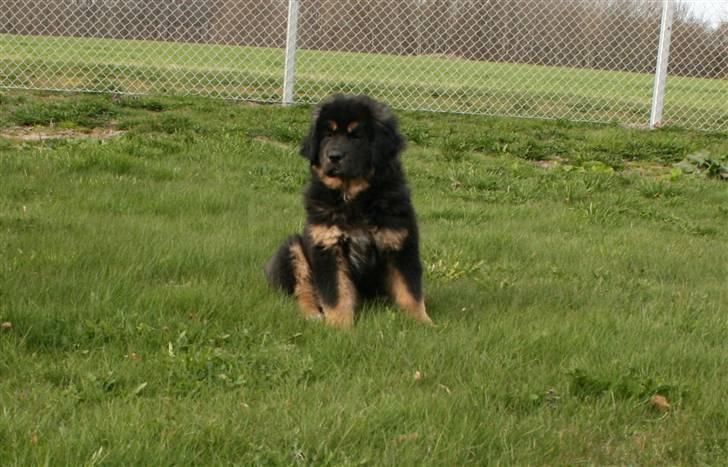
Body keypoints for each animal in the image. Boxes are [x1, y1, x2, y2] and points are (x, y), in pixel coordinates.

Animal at [264, 95, 430, 330]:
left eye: (356, 136)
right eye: (328, 134)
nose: (333, 156)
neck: (354, 197)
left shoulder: (400, 244)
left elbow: (410, 291)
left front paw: (423, 324)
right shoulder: (328, 245)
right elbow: (337, 293)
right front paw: (339, 327)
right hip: (294, 248)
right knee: (303, 290)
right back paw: (312, 314)